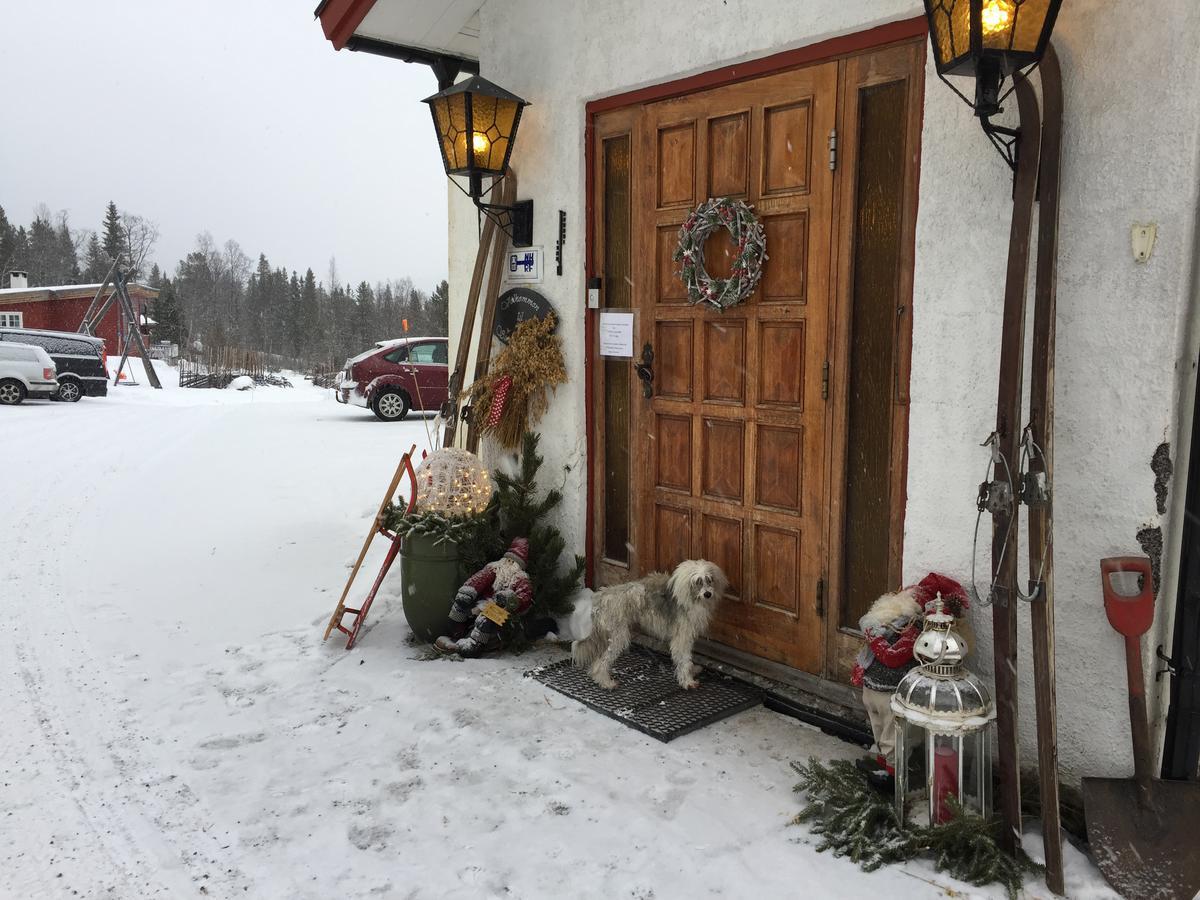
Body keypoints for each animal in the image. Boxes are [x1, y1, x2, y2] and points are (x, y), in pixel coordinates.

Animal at [573, 561, 729, 696]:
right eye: (698, 581)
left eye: (709, 580)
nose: (708, 594)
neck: (690, 596)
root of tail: (601, 599)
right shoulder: (682, 637)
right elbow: (684, 659)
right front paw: (687, 681)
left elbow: (687, 658)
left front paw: (692, 670)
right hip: (618, 636)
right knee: (601, 662)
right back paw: (606, 682)